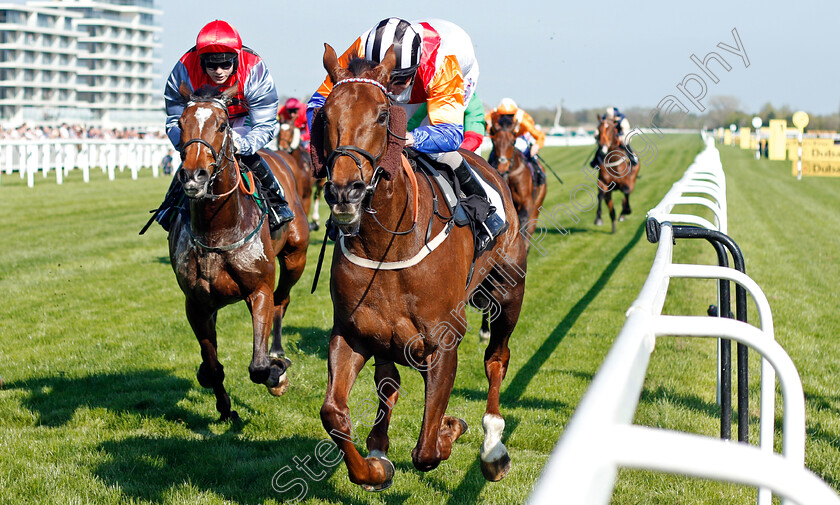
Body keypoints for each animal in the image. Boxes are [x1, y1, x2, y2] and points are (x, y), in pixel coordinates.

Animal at [167, 83, 308, 422]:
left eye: (222, 125)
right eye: (180, 124)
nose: (194, 176)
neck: (218, 229)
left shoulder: (259, 290)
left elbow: (258, 366)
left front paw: (276, 374)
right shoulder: (195, 303)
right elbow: (213, 364)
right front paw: (224, 406)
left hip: (296, 257)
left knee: (283, 299)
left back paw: (278, 354)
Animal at [316, 45, 524, 490]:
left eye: (382, 114)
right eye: (325, 113)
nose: (344, 191)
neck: (387, 245)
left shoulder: (443, 341)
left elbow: (427, 450)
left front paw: (450, 428)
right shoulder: (352, 332)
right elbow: (334, 414)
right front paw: (374, 467)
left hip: (508, 292)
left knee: (496, 359)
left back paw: (493, 447)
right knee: (389, 383)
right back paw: (380, 446)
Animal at [488, 116, 548, 254]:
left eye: (512, 142)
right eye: (494, 142)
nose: (502, 167)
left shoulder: (526, 201)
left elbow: (523, 219)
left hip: (538, 202)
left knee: (531, 225)